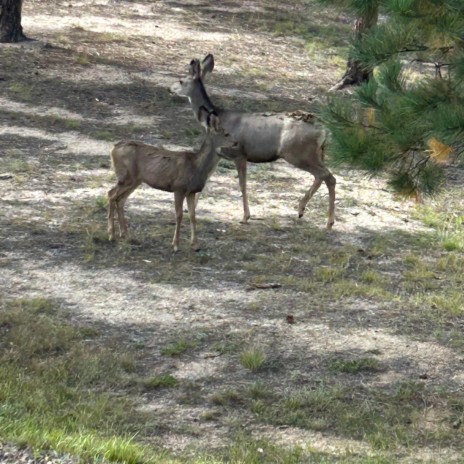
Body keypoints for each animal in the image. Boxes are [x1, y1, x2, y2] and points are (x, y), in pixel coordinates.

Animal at [107, 107, 234, 252]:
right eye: (226, 134)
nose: (236, 142)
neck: (197, 166)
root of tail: (113, 148)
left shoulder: (191, 192)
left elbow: (193, 216)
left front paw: (195, 245)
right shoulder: (179, 188)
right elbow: (179, 215)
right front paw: (176, 245)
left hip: (135, 180)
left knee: (120, 200)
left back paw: (125, 234)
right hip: (126, 176)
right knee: (111, 194)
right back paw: (111, 235)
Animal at [170, 54, 338, 228]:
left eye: (181, 80)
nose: (170, 88)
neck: (217, 118)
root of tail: (323, 130)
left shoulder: (239, 153)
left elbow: (242, 184)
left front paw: (245, 216)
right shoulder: (219, 153)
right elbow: (207, 177)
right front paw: (190, 209)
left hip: (298, 153)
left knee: (327, 176)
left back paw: (328, 221)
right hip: (316, 154)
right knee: (322, 176)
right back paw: (301, 210)